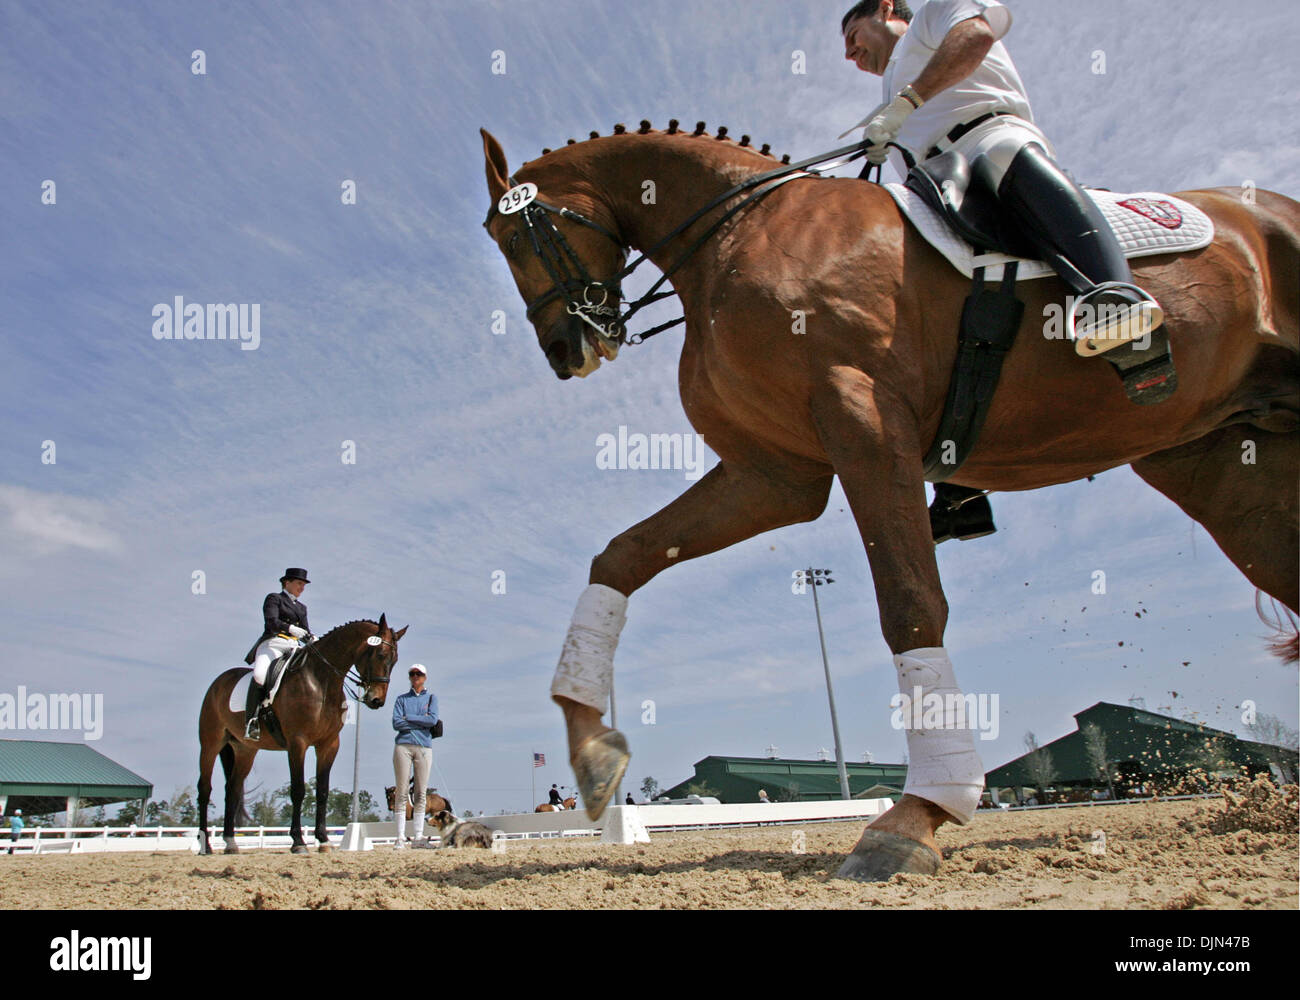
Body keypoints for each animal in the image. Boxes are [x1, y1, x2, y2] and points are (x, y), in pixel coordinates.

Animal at [197, 613, 405, 853]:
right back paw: (205, 845)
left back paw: (231, 843)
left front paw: (323, 840)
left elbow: (322, 791)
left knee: (232, 790)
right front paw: (298, 841)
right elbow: (298, 790)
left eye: (395, 661)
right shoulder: (298, 743)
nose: (376, 700)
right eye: (380, 654)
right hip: (210, 744)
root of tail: (218, 682)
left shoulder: (329, 744)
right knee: (204, 789)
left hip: (245, 750)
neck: (321, 682)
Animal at [480, 120, 1300, 879]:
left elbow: (910, 605)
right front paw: (592, 749)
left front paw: (920, 814)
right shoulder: (776, 473)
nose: (564, 352)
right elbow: (623, 555)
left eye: (515, 235)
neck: (738, 233)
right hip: (1223, 465)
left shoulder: (863, 419)